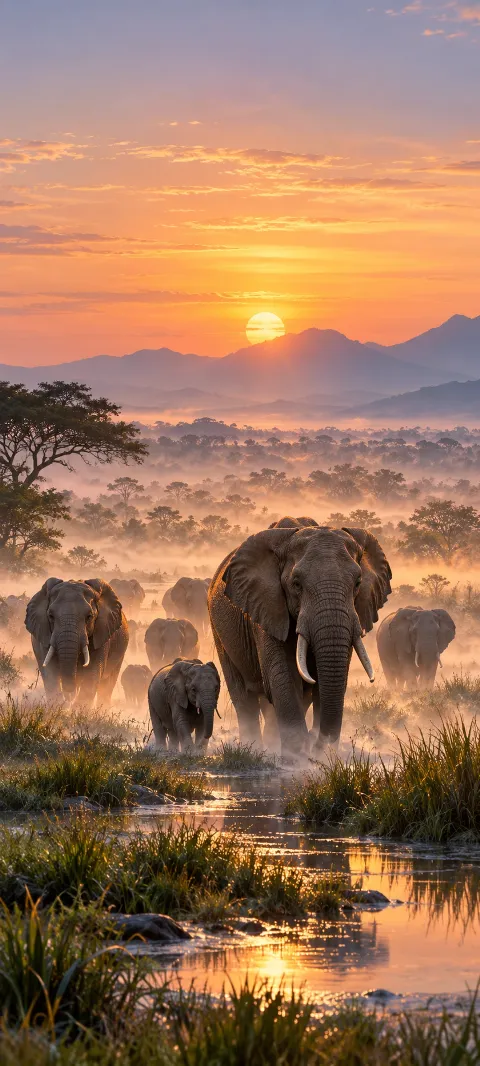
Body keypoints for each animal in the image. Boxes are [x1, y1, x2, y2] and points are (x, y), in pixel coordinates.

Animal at [26, 577, 129, 706]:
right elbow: (50, 673)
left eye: (89, 616)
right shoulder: (44, 634)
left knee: (107, 684)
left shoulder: (102, 635)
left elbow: (92, 674)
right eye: (51, 616)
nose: (69, 695)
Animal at [208, 518, 392, 758]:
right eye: (296, 584)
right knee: (244, 698)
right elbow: (283, 676)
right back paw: (254, 750)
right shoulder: (268, 608)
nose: (318, 743)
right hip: (218, 630)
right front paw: (296, 758)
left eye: (358, 583)